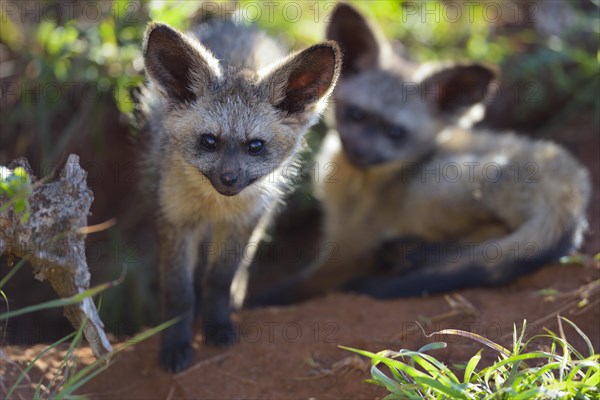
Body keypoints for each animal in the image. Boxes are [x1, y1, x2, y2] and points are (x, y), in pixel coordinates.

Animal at [247, 3, 592, 306]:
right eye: (356, 114)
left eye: (396, 132)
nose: (359, 152)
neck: (356, 190)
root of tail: (572, 184)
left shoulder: (348, 247)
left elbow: (300, 285)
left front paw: (257, 302)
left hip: (438, 187)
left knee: (489, 239)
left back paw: (410, 254)